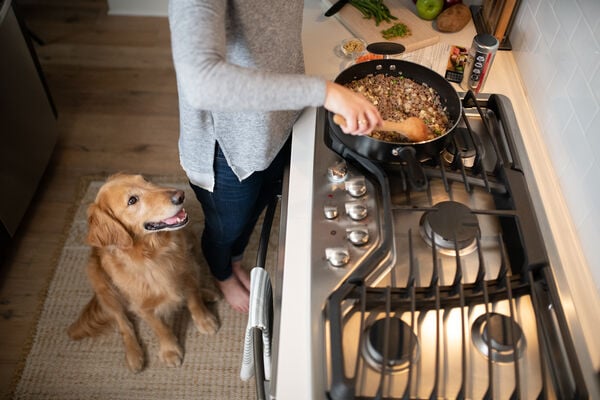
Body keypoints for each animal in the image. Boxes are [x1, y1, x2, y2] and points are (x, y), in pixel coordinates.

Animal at [68, 173, 219, 372]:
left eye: (146, 181)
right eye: (132, 200)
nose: (180, 195)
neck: (154, 254)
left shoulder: (187, 271)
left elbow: (194, 300)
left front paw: (205, 321)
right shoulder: (143, 306)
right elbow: (160, 328)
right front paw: (170, 350)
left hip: (192, 241)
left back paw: (207, 293)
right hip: (101, 284)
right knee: (123, 324)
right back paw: (134, 354)